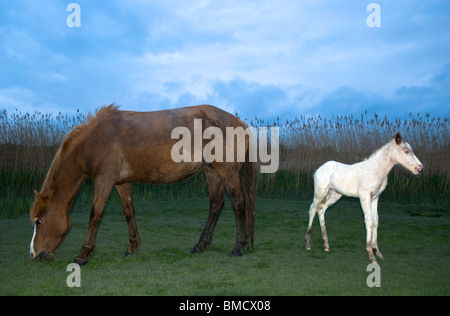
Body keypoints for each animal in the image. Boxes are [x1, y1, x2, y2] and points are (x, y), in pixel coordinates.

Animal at [29, 105, 255, 266]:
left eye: (38, 221)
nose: (34, 254)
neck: (95, 138)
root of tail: (240, 123)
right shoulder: (122, 183)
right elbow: (129, 212)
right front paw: (132, 248)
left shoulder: (104, 180)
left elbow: (95, 215)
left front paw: (83, 254)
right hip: (211, 171)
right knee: (216, 205)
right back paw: (200, 245)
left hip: (226, 171)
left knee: (238, 204)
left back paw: (237, 247)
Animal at [304, 132, 424, 262]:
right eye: (406, 151)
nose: (420, 168)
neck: (375, 170)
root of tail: (318, 169)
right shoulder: (365, 196)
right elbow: (369, 221)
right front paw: (371, 255)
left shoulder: (375, 197)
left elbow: (376, 220)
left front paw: (377, 252)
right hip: (320, 192)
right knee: (312, 209)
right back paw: (308, 244)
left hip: (334, 194)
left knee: (321, 209)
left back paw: (326, 245)